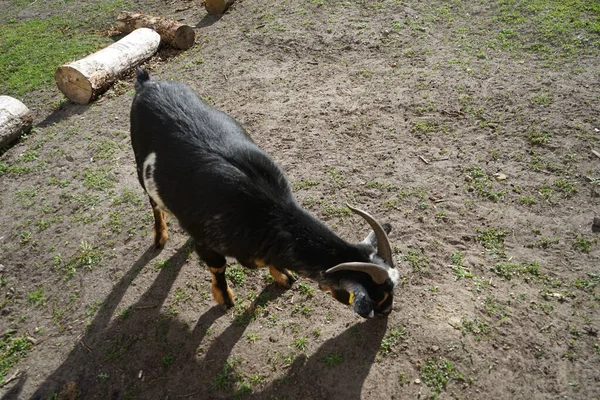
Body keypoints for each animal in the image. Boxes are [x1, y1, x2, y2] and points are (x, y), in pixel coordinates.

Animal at [130, 69, 398, 318]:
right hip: (140, 165)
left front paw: (283, 276)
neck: (268, 211)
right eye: (378, 297)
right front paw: (225, 298)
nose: (387, 312)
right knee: (154, 203)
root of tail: (147, 83)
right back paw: (160, 237)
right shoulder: (209, 245)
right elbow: (219, 268)